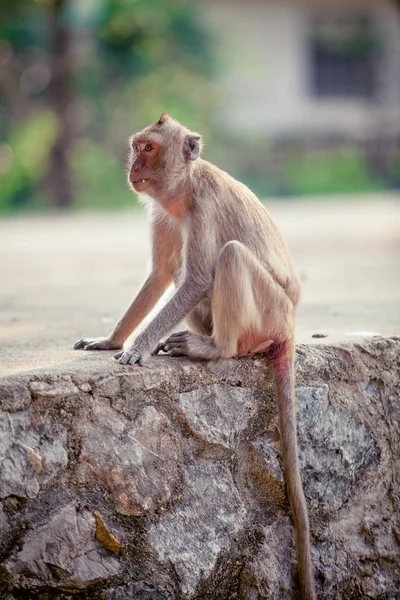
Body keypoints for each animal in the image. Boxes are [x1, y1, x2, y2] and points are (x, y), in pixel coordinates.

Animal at [72, 113, 316, 600]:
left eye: (148, 148)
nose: (133, 167)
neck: (184, 190)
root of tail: (291, 325)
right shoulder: (165, 214)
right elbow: (162, 275)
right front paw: (111, 340)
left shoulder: (203, 207)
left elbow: (199, 276)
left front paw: (137, 348)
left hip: (270, 312)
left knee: (230, 257)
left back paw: (216, 348)